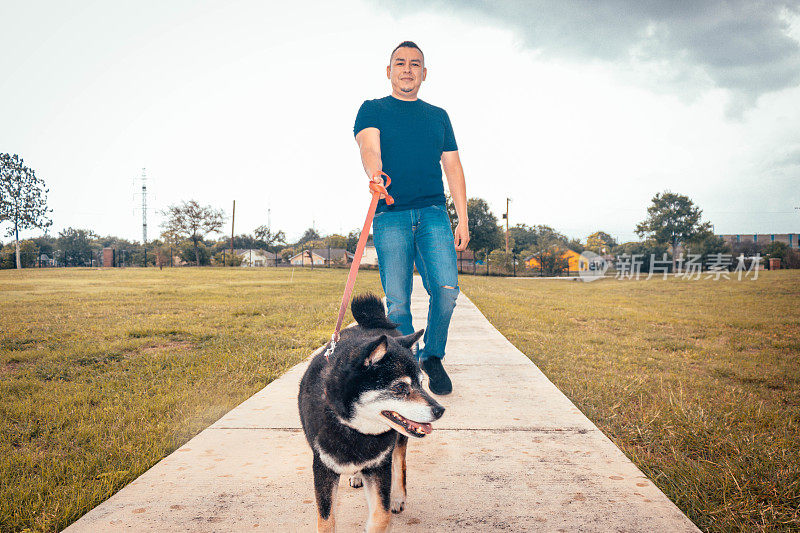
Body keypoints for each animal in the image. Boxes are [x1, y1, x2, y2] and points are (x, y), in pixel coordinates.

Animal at [300, 294, 446, 528]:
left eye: (421, 383)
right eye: (400, 387)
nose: (440, 410)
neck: (355, 430)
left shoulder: (380, 466)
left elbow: (382, 514)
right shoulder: (323, 467)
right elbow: (326, 520)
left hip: (398, 441)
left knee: (400, 463)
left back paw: (398, 497)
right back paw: (357, 476)